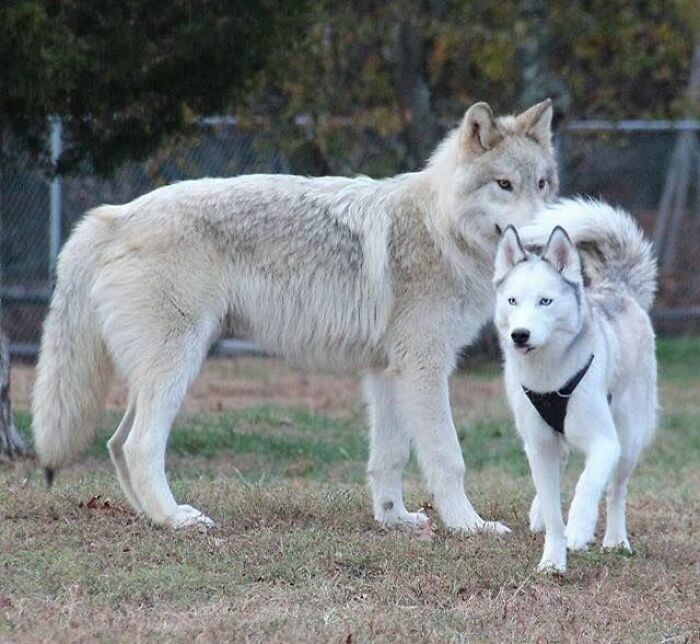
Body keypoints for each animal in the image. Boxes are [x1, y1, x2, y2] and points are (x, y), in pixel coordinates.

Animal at [34, 98, 556, 532]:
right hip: (178, 363)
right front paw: (470, 526)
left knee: (116, 444)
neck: (442, 229)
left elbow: (389, 457)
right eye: (504, 185)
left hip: (159, 371)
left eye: (542, 184)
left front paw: (395, 520)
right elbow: (449, 457)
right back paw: (177, 519)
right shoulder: (424, 368)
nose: (538, 239)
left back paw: (154, 517)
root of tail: (114, 214)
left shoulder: (387, 371)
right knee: (139, 444)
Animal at [492, 199, 656, 572]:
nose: (519, 335)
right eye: (512, 301)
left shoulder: (604, 442)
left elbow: (588, 482)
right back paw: (540, 511)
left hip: (629, 438)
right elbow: (554, 512)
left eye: (545, 301)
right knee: (563, 463)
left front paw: (580, 528)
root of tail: (617, 289)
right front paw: (553, 560)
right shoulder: (538, 446)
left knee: (616, 490)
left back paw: (615, 540)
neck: (548, 376)